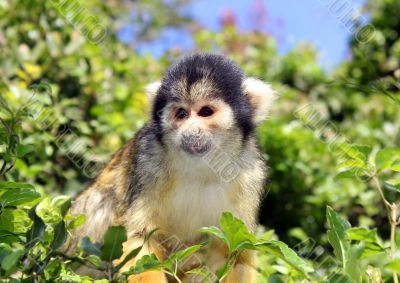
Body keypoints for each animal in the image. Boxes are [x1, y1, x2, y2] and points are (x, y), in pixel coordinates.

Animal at [66, 53, 278, 283]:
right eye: (181, 114)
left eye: (205, 112)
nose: (190, 131)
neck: (201, 166)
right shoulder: (147, 159)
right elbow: (140, 236)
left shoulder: (250, 173)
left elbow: (235, 252)